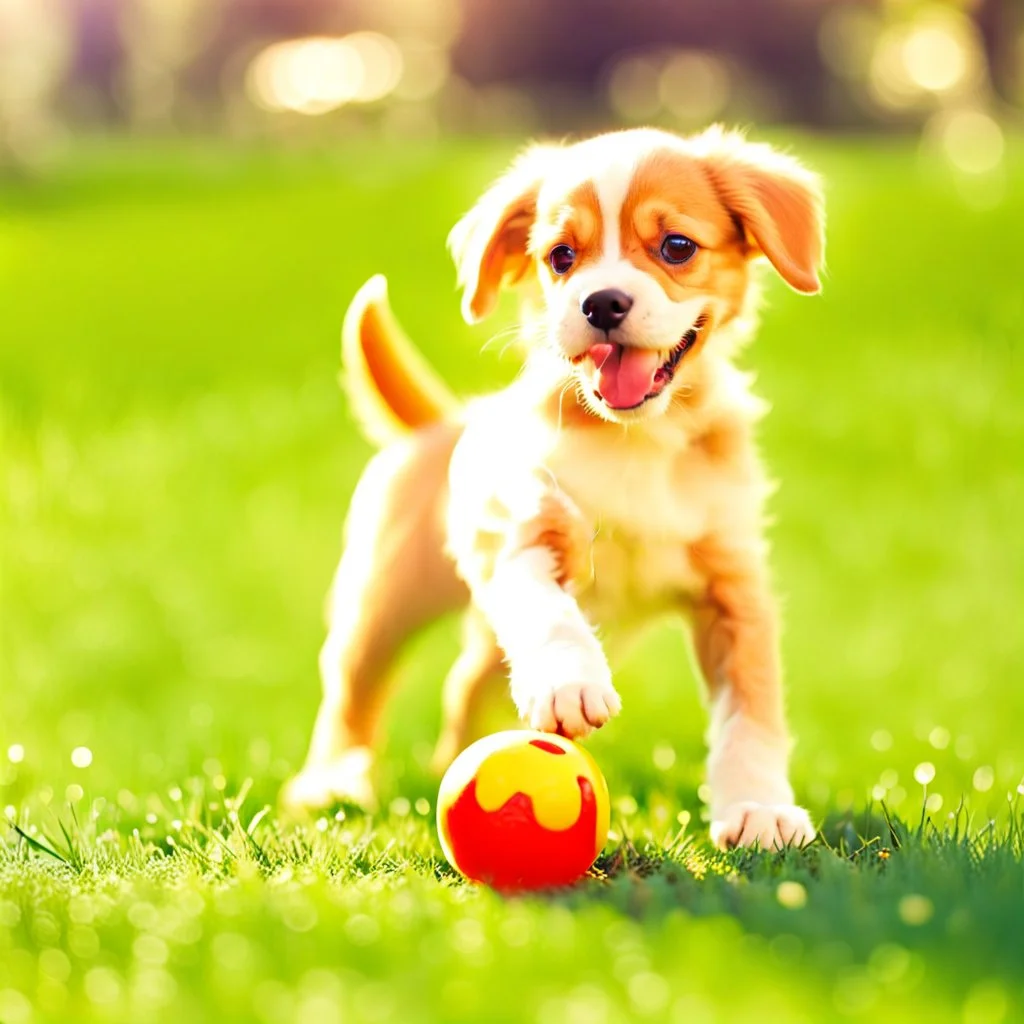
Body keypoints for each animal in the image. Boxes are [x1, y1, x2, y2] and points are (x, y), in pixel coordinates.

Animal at [284, 125, 827, 847]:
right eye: (561, 256)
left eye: (677, 247)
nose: (602, 303)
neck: (635, 440)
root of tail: (444, 420)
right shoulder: (522, 534)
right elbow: (547, 615)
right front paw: (569, 684)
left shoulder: (735, 590)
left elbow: (752, 710)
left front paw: (757, 808)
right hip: (383, 600)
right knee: (352, 692)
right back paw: (332, 782)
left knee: (465, 687)